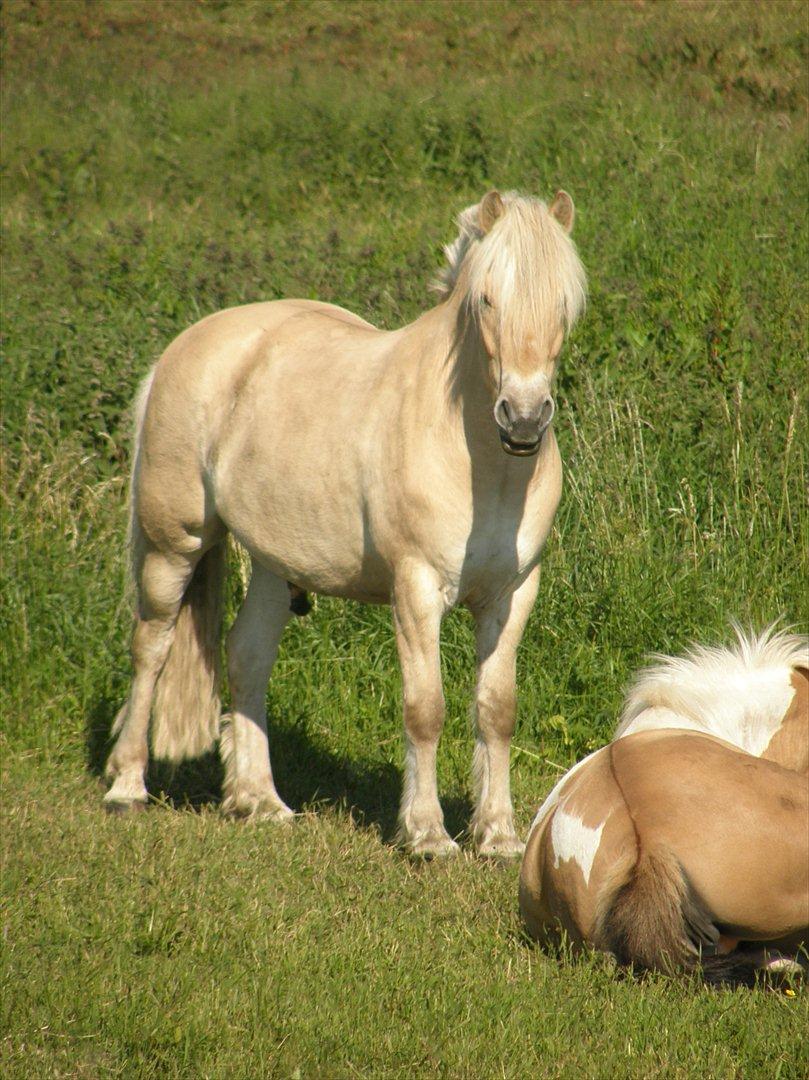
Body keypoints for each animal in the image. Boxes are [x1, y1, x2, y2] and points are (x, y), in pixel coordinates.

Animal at [104, 190, 587, 855]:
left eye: (566, 301)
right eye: (487, 298)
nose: (523, 419)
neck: (479, 462)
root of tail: (189, 344)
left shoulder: (512, 595)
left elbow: (496, 710)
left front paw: (498, 836)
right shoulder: (416, 591)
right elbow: (425, 709)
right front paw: (427, 835)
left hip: (273, 566)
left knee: (246, 657)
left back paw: (259, 801)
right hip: (174, 545)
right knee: (151, 647)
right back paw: (126, 787)